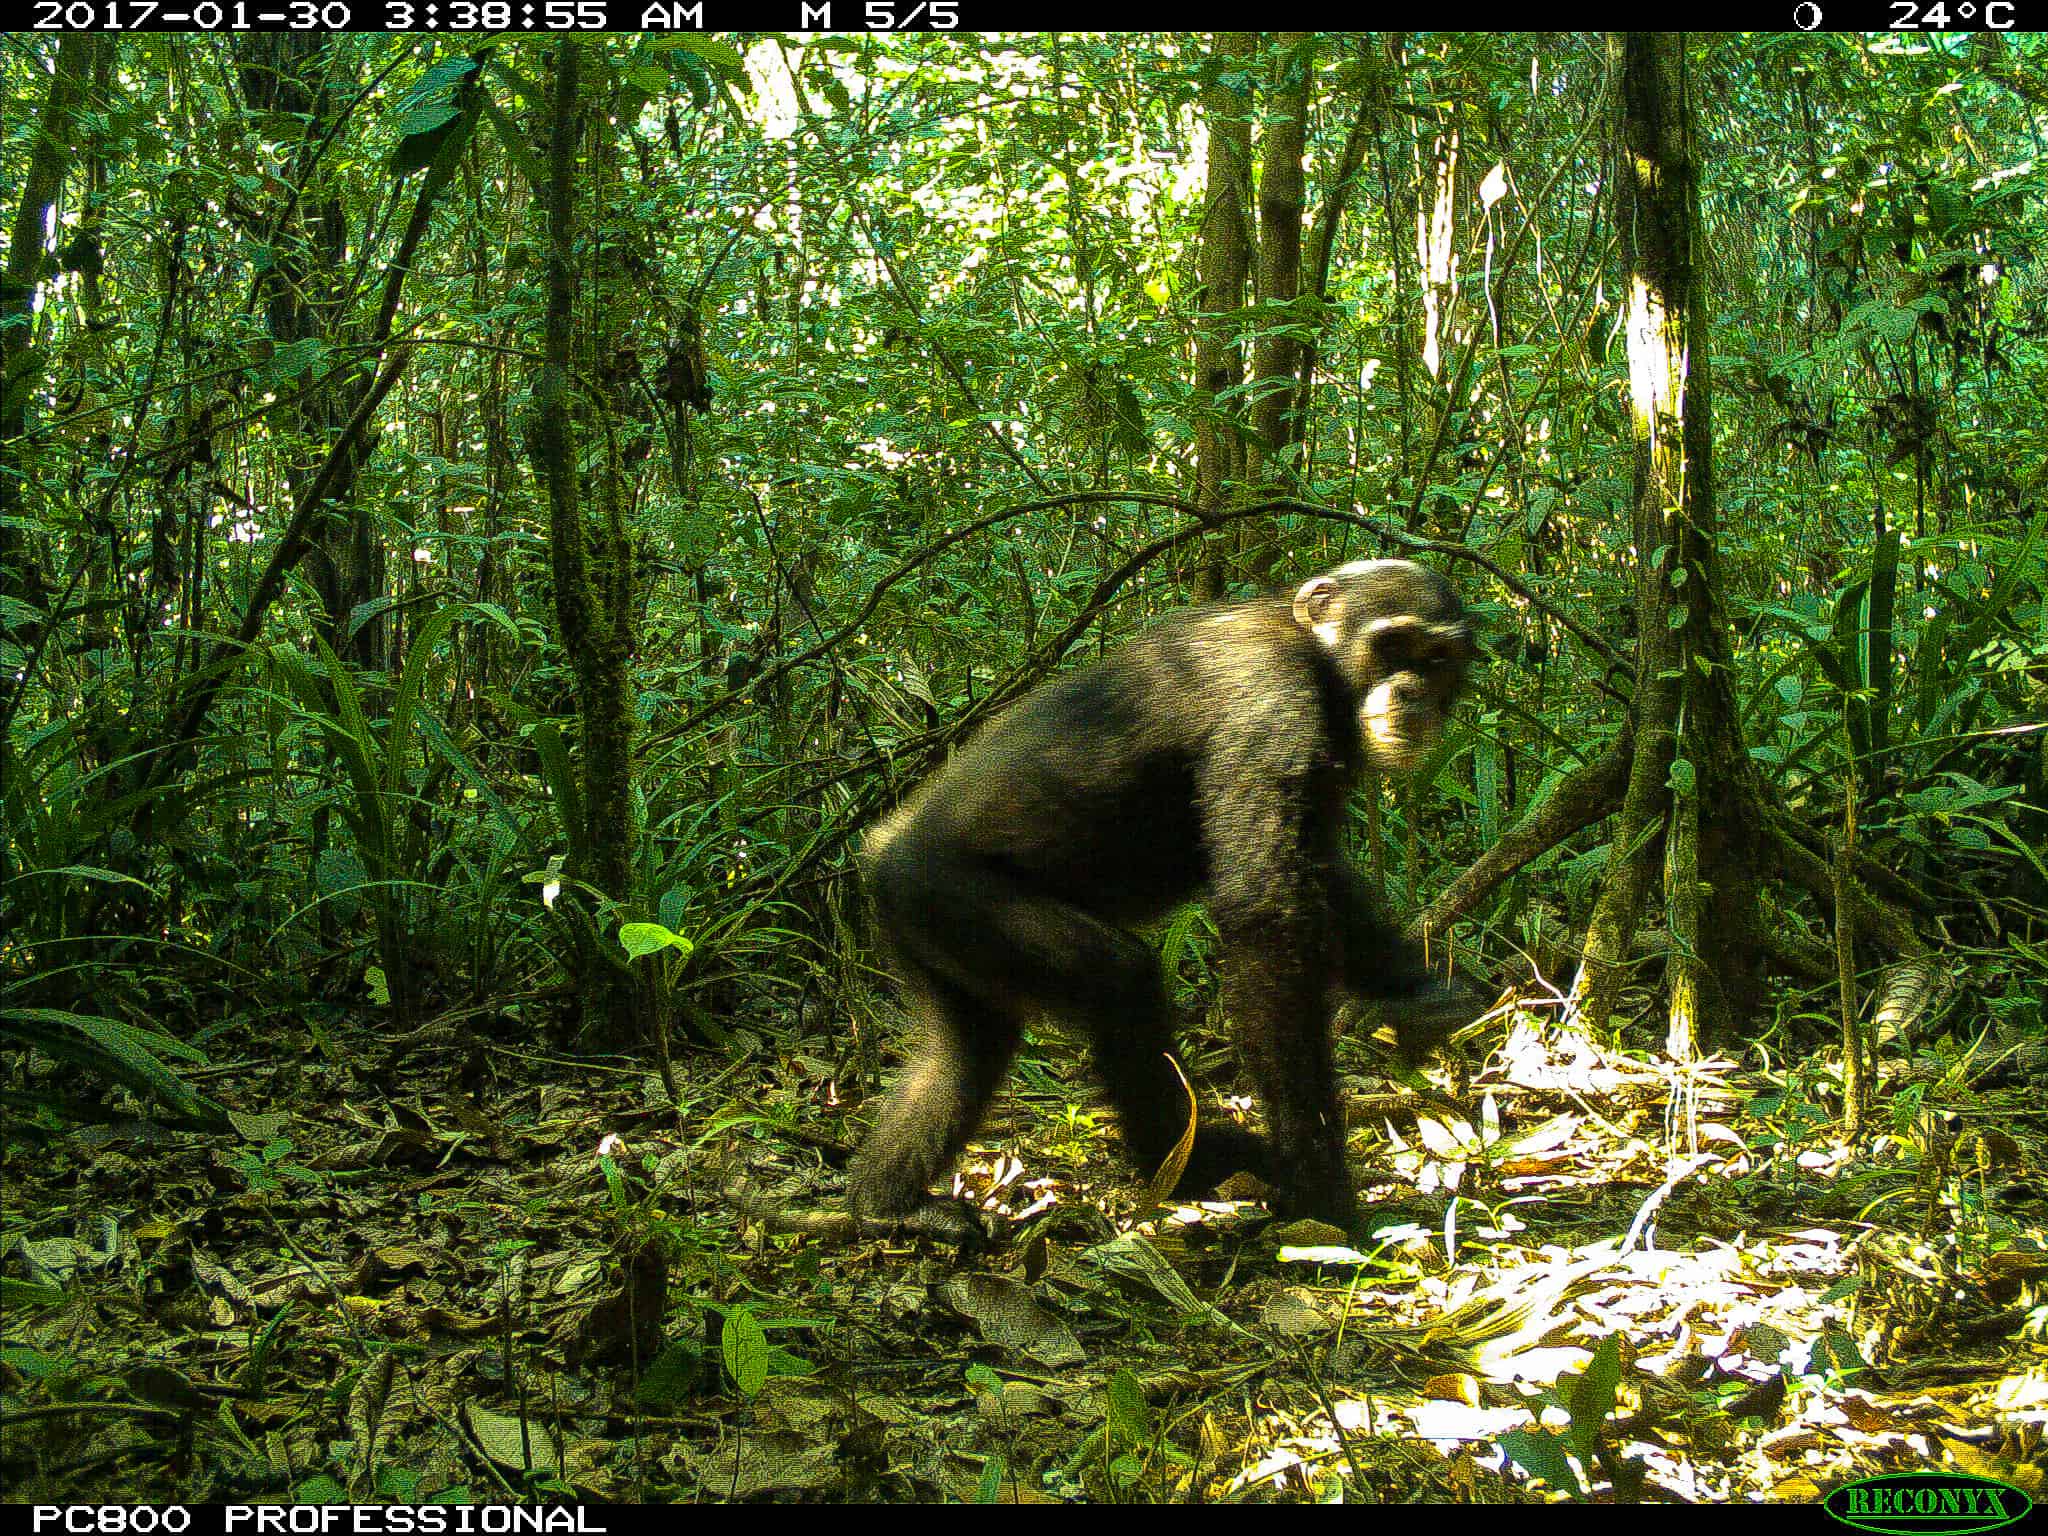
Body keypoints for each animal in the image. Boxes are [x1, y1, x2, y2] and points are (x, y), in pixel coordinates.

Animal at [849, 558, 1477, 1240]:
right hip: (954, 897)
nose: (1412, 690)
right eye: (1391, 645)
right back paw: (1187, 1164)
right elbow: (1267, 918)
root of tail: (881, 849)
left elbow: (1323, 881)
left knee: (962, 1058)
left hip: (928, 931)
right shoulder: (1274, 706)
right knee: (1118, 981)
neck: (1318, 656)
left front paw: (1426, 994)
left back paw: (889, 1202)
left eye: (1437, 658)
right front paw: (1322, 1191)